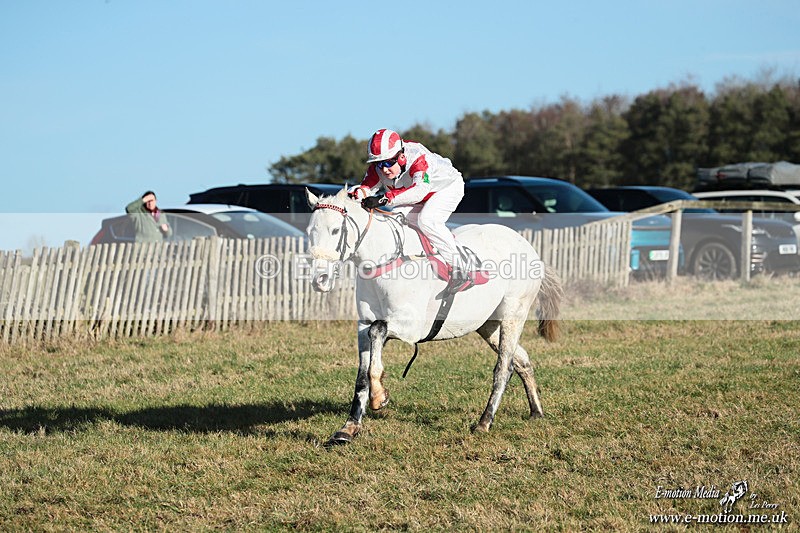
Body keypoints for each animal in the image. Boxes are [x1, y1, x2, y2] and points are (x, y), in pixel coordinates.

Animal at [305, 187, 562, 446]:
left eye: (335, 230)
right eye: (310, 232)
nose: (319, 280)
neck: (385, 261)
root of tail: (529, 248)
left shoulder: (411, 327)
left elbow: (378, 330)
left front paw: (379, 396)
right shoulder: (363, 326)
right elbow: (362, 375)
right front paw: (348, 428)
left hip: (513, 314)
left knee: (503, 368)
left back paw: (484, 422)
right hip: (488, 325)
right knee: (521, 361)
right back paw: (536, 411)